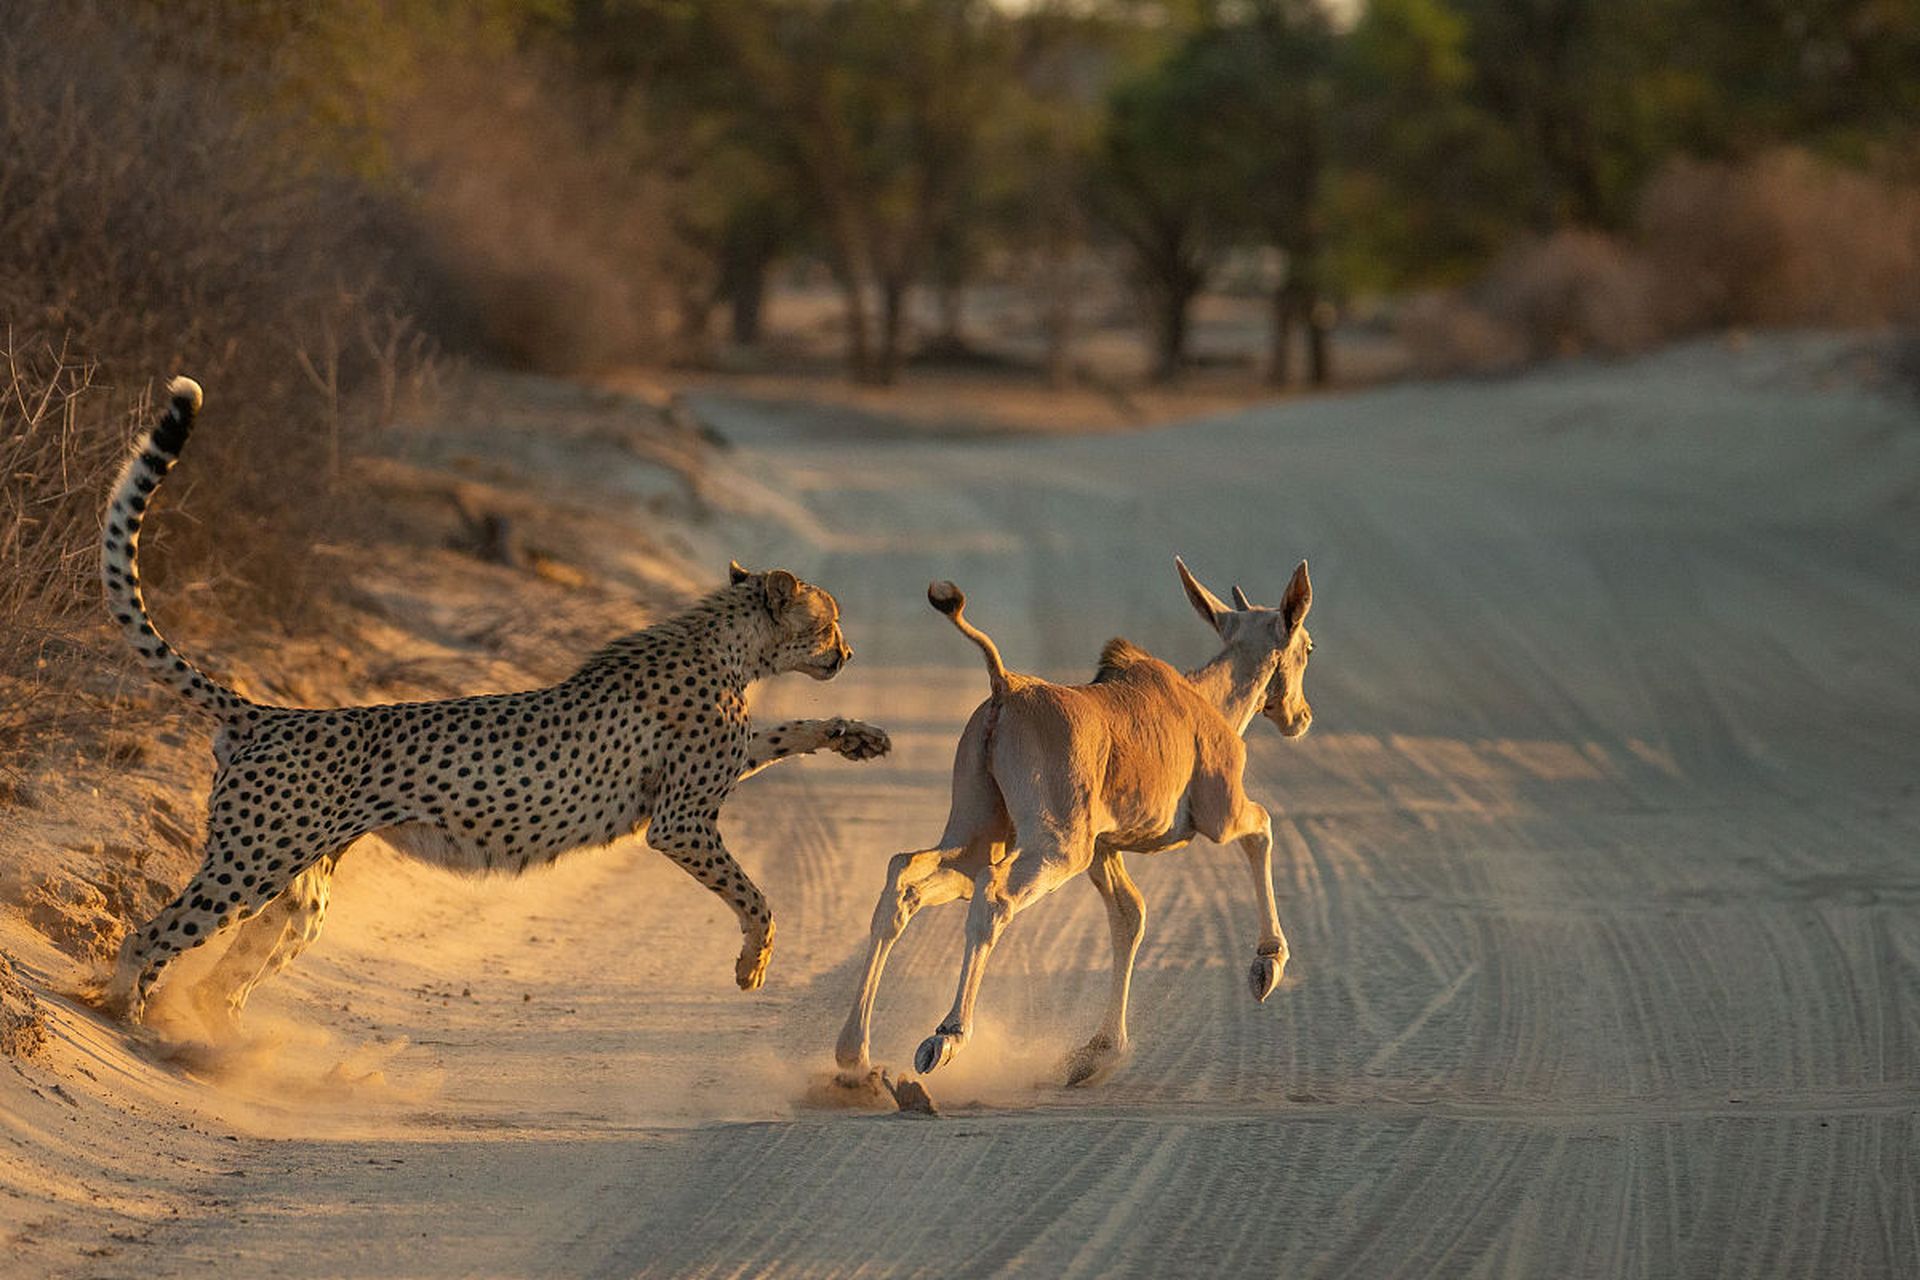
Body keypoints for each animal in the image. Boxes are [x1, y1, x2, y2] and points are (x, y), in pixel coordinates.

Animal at [101, 376, 887, 1028]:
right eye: (829, 623)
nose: (847, 655)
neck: (726, 644)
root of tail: (270, 711)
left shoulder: (721, 764)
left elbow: (786, 732)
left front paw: (859, 737)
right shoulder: (679, 823)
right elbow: (753, 893)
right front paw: (754, 962)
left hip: (297, 893)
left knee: (223, 977)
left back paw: (219, 1044)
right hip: (250, 863)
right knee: (150, 936)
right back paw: (126, 1016)